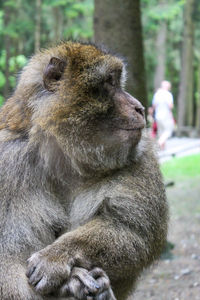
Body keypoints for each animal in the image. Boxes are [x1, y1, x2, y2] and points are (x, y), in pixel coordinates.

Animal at [0, 40, 169, 300]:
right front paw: (71, 285)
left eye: (116, 80)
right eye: (109, 82)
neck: (65, 155)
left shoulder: (140, 156)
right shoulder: (8, 161)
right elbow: (8, 256)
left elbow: (133, 230)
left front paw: (57, 256)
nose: (140, 107)